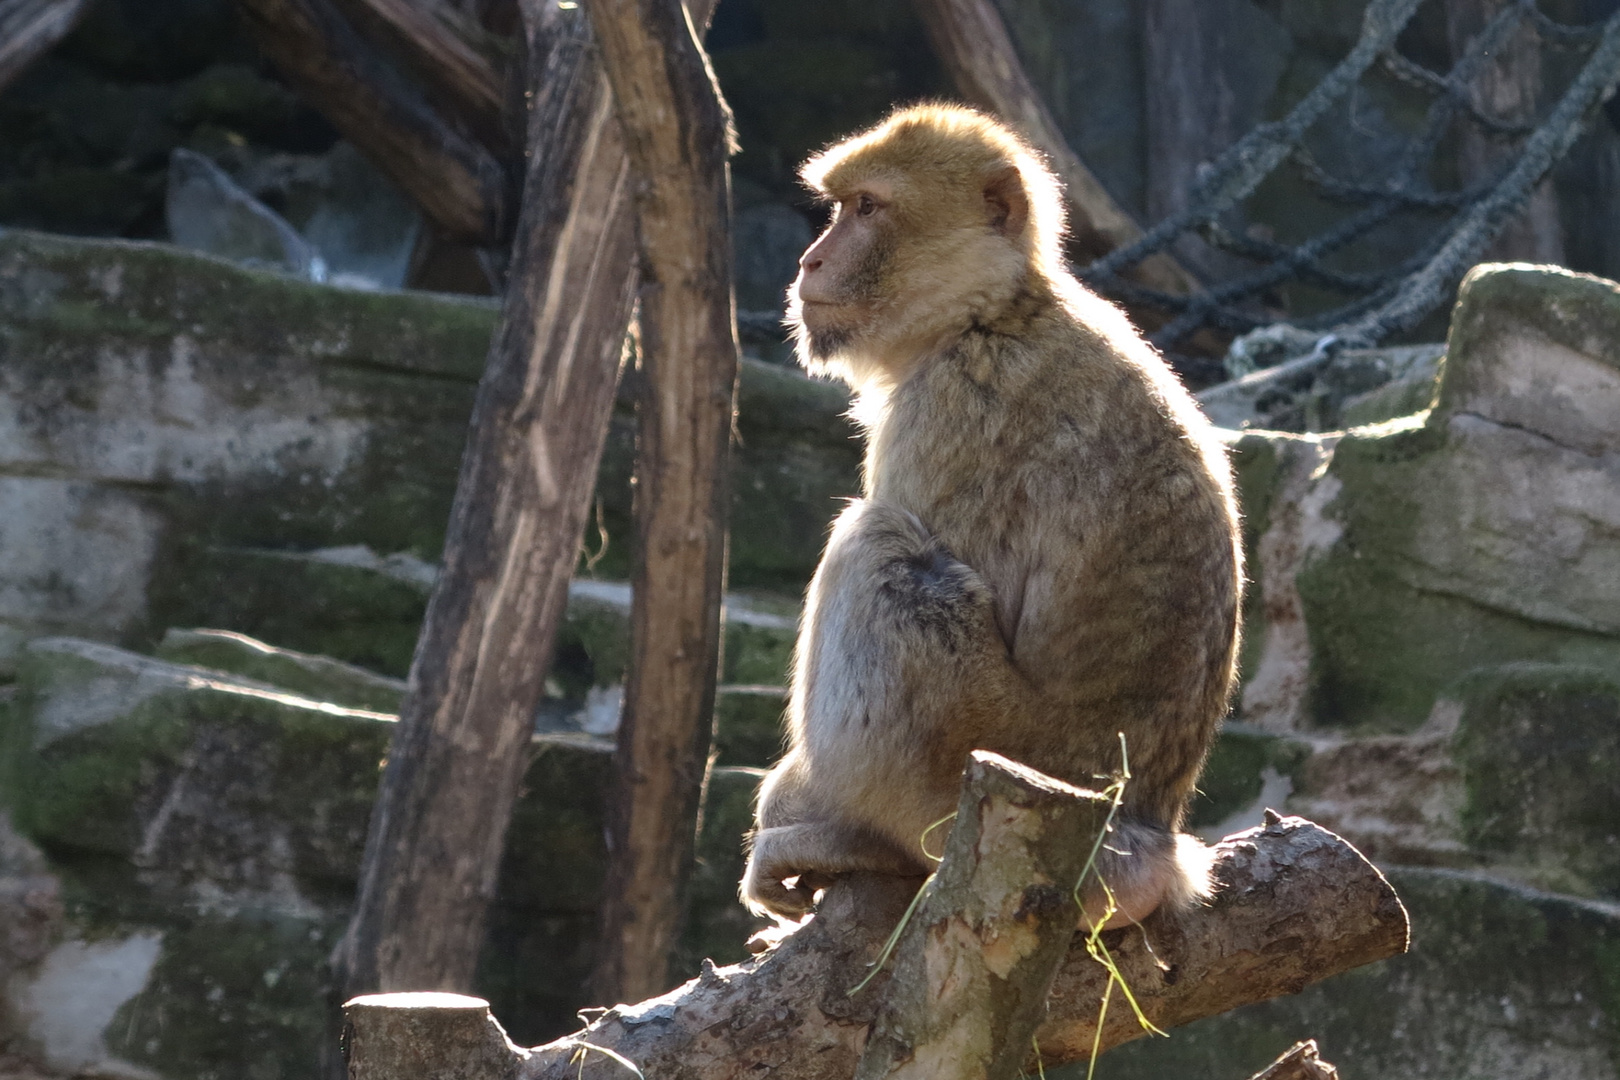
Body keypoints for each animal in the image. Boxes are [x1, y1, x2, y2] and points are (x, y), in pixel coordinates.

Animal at [741, 105, 1244, 932]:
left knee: (877, 548)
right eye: (840, 207)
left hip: (966, 751)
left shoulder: (945, 410)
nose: (809, 262)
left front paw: (795, 804)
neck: (992, 312)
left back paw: (854, 837)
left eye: (867, 208)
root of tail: (1143, 842)